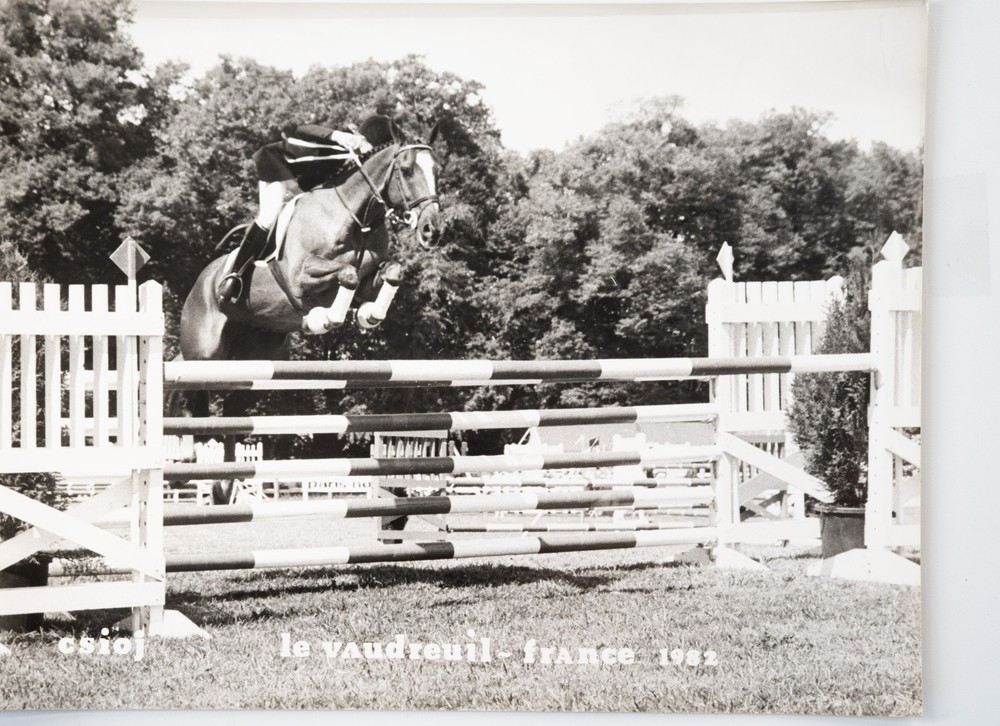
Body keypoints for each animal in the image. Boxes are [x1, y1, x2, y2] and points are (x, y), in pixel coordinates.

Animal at [176, 115, 443, 505]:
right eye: (406, 170)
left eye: (439, 170)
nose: (431, 230)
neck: (357, 216)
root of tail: (200, 282)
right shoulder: (301, 277)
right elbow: (344, 275)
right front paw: (324, 318)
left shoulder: (372, 274)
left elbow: (390, 272)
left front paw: (367, 315)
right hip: (206, 355)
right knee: (195, 400)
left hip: (254, 364)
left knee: (231, 417)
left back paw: (223, 485)